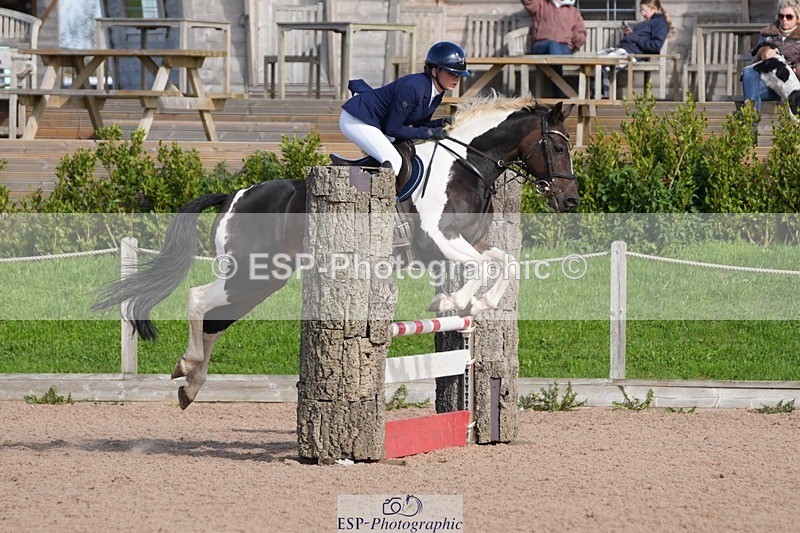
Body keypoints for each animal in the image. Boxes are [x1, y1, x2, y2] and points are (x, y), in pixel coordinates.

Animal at [93, 95, 580, 409]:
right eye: (558, 146)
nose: (572, 202)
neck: (465, 165)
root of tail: (235, 194)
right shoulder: (440, 239)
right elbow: (482, 266)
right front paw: (457, 301)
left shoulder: (468, 241)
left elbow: (504, 261)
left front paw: (474, 302)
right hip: (251, 272)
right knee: (198, 300)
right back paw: (190, 370)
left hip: (263, 278)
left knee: (215, 317)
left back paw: (190, 383)